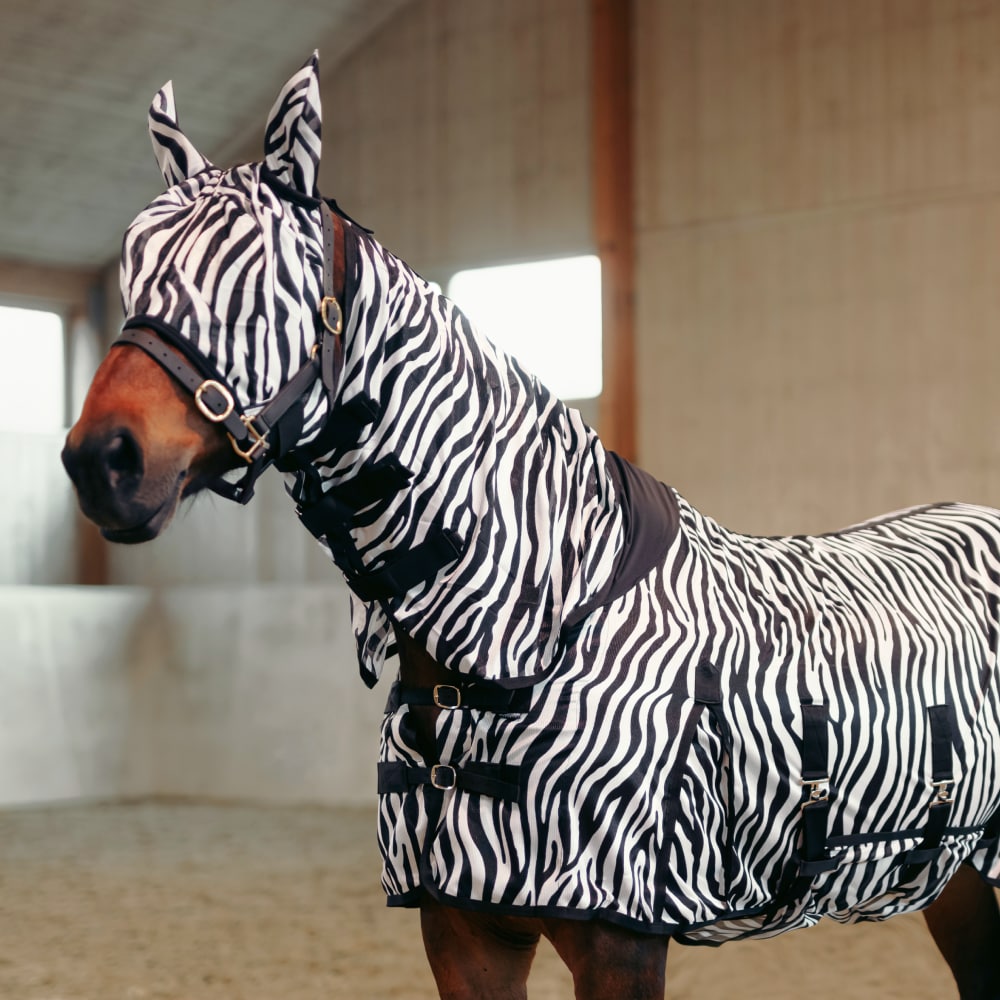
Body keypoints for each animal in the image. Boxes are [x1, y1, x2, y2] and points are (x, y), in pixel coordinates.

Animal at [63, 53, 1000, 996]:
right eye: (133, 268)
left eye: (263, 277)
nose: (102, 461)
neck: (534, 626)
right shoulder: (464, 934)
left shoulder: (621, 941)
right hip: (955, 882)